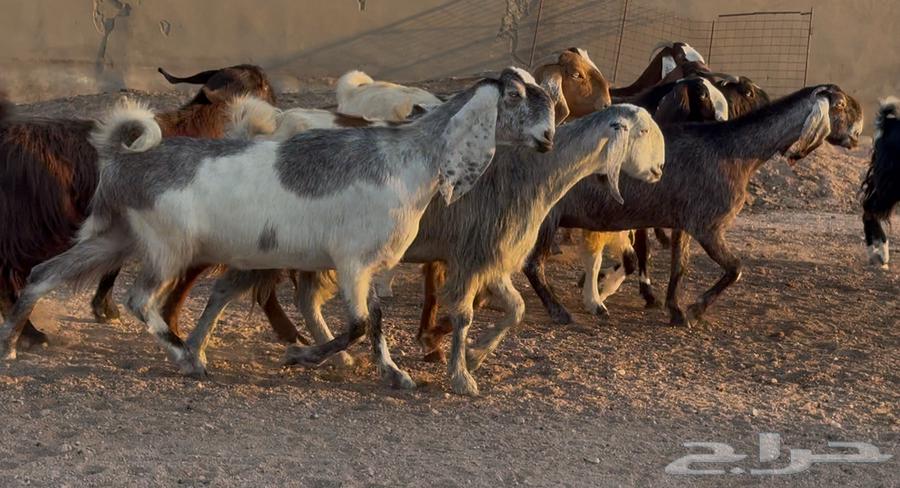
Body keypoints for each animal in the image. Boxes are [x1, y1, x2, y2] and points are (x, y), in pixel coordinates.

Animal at [524, 85, 863, 328]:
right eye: (841, 105)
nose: (857, 136)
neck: (735, 152)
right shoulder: (707, 226)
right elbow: (735, 268)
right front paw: (695, 310)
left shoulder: (682, 224)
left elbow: (680, 268)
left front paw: (675, 311)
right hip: (545, 217)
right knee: (533, 265)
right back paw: (559, 312)